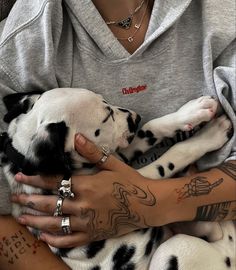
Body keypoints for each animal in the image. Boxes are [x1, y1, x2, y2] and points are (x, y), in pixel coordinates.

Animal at [0, 88, 235, 270]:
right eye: (106, 117)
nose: (136, 117)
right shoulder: (131, 186)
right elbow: (171, 157)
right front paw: (210, 135)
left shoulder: (114, 156)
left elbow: (151, 129)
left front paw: (192, 112)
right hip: (170, 250)